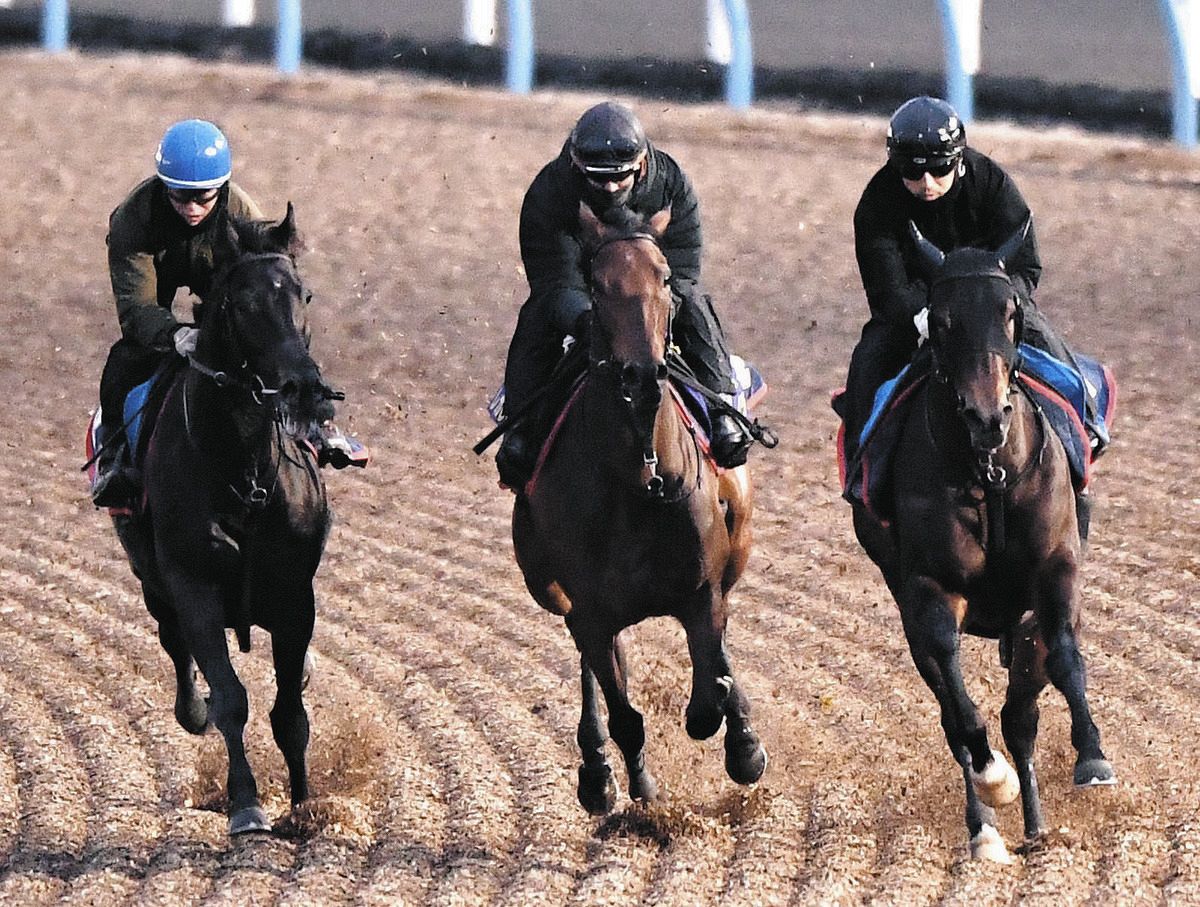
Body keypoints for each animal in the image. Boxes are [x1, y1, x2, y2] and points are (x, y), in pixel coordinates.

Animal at [110, 204, 339, 835]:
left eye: (305, 294)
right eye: (241, 304)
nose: (303, 386)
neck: (245, 469)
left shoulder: (295, 595)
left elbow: (290, 712)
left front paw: (304, 807)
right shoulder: (193, 587)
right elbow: (232, 697)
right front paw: (246, 805)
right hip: (152, 580)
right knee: (174, 646)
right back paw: (195, 709)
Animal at [511, 201, 767, 815]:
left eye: (665, 279)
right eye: (597, 286)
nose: (643, 376)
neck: (638, 480)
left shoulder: (702, 592)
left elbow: (709, 690)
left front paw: (740, 744)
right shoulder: (590, 609)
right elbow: (626, 712)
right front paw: (629, 782)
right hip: (551, 591)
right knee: (594, 667)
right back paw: (598, 770)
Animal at [850, 221, 1115, 862]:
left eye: (1010, 311)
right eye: (943, 321)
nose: (987, 417)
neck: (988, 472)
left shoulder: (1055, 569)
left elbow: (1063, 657)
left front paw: (1092, 757)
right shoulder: (929, 589)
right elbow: (954, 690)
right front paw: (992, 779)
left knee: (1021, 713)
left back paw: (1036, 828)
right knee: (958, 714)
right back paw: (986, 827)